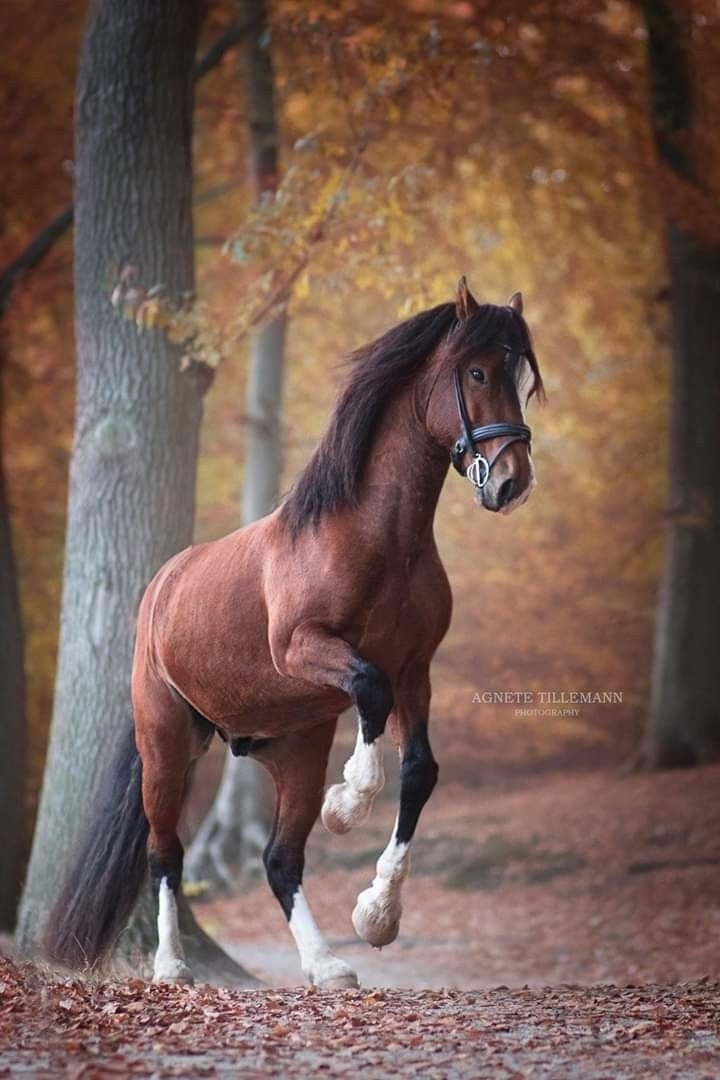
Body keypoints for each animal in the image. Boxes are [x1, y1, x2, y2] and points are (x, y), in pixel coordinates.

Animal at [46, 277, 543, 989]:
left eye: (525, 379)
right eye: (477, 372)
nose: (512, 481)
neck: (378, 539)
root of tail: (161, 587)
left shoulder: (416, 670)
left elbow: (420, 769)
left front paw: (377, 913)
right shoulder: (305, 650)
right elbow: (369, 692)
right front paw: (349, 802)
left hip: (296, 748)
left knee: (280, 858)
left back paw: (327, 963)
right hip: (166, 742)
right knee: (164, 850)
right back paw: (172, 965)